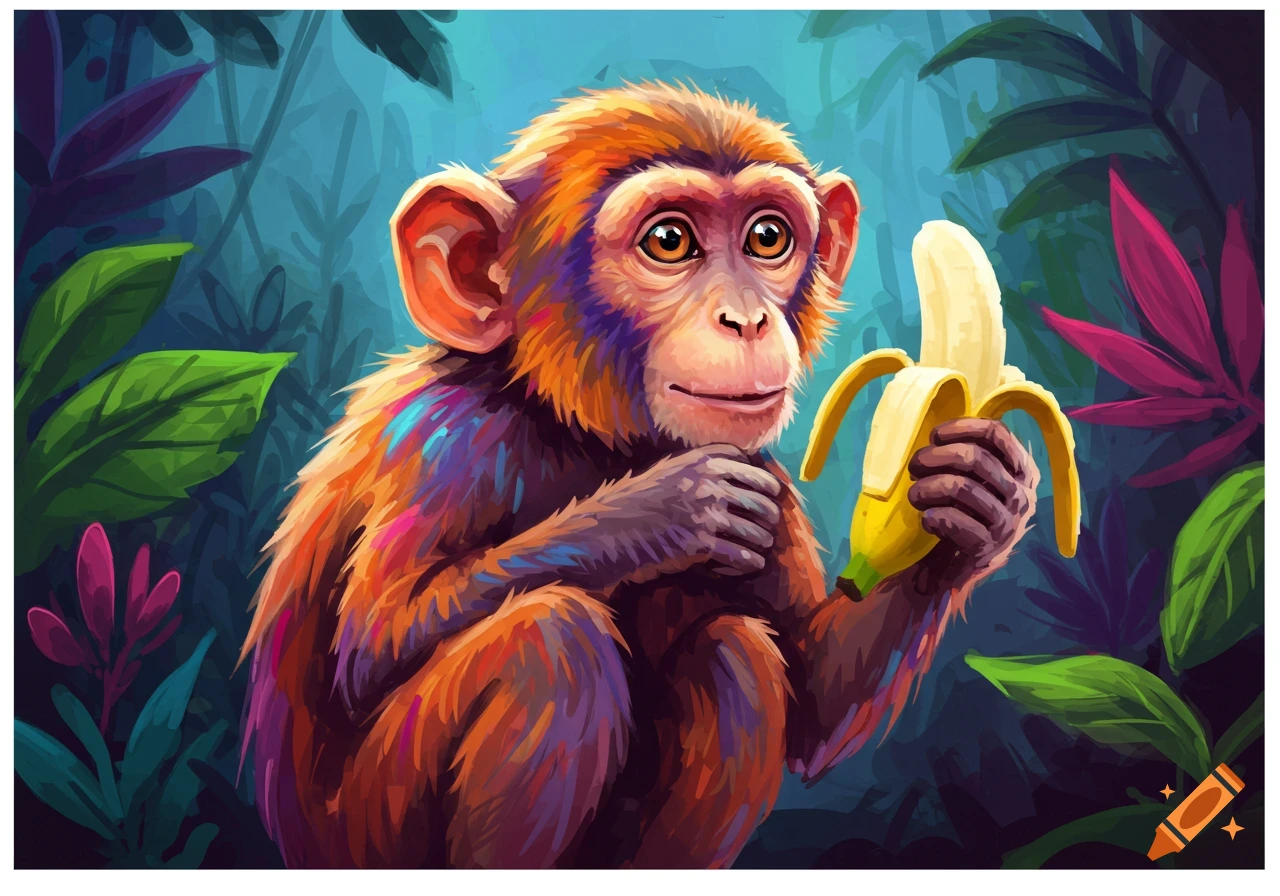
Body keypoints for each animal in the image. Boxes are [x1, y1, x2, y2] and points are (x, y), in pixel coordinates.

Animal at [239, 82, 1039, 869]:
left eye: (767, 238)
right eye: (670, 242)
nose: (745, 320)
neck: (573, 422)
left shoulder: (768, 478)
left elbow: (817, 702)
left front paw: (976, 496)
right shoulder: (442, 441)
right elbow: (375, 644)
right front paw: (661, 514)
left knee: (739, 656)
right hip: (366, 830)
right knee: (550, 644)